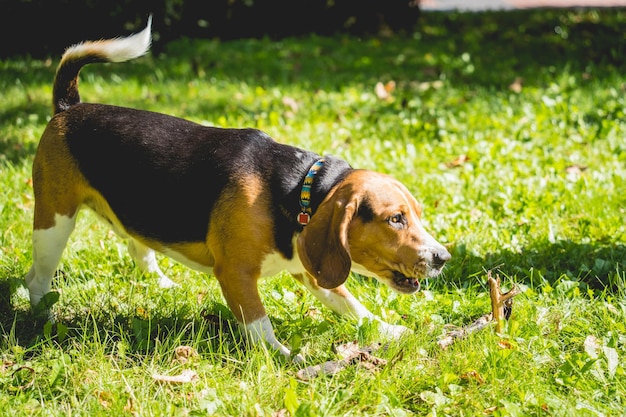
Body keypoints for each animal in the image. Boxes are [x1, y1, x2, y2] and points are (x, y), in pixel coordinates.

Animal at [26, 17, 448, 360]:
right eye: (395, 219)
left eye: (416, 215)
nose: (443, 257)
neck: (300, 188)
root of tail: (69, 108)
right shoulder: (235, 273)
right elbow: (259, 324)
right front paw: (284, 356)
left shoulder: (311, 268)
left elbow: (351, 304)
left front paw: (387, 329)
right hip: (54, 222)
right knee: (37, 278)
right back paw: (43, 315)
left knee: (138, 246)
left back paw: (162, 283)